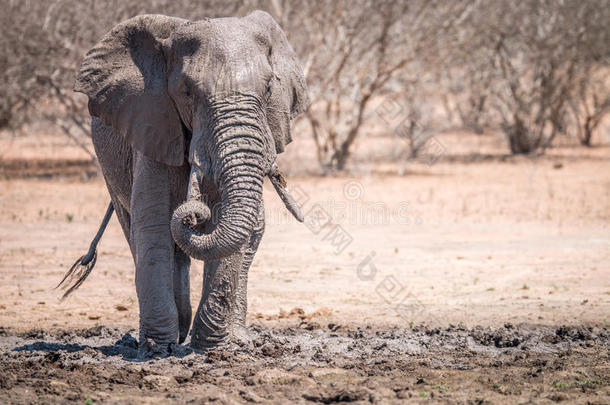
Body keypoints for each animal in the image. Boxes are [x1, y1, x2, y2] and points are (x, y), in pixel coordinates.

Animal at [60, 11, 308, 354]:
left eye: (269, 88)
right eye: (187, 92)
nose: (194, 213)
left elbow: (228, 228)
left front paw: (211, 347)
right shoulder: (153, 123)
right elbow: (153, 224)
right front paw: (158, 349)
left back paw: (234, 338)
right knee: (135, 227)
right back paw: (173, 333)